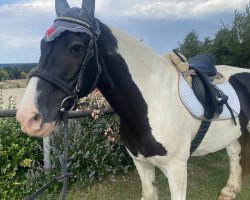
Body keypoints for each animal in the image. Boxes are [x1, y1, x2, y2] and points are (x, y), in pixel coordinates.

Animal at [16, 0, 250, 199]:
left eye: (76, 47)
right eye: (42, 46)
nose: (27, 117)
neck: (152, 102)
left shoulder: (177, 169)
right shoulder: (142, 164)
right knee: (234, 154)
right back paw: (229, 190)